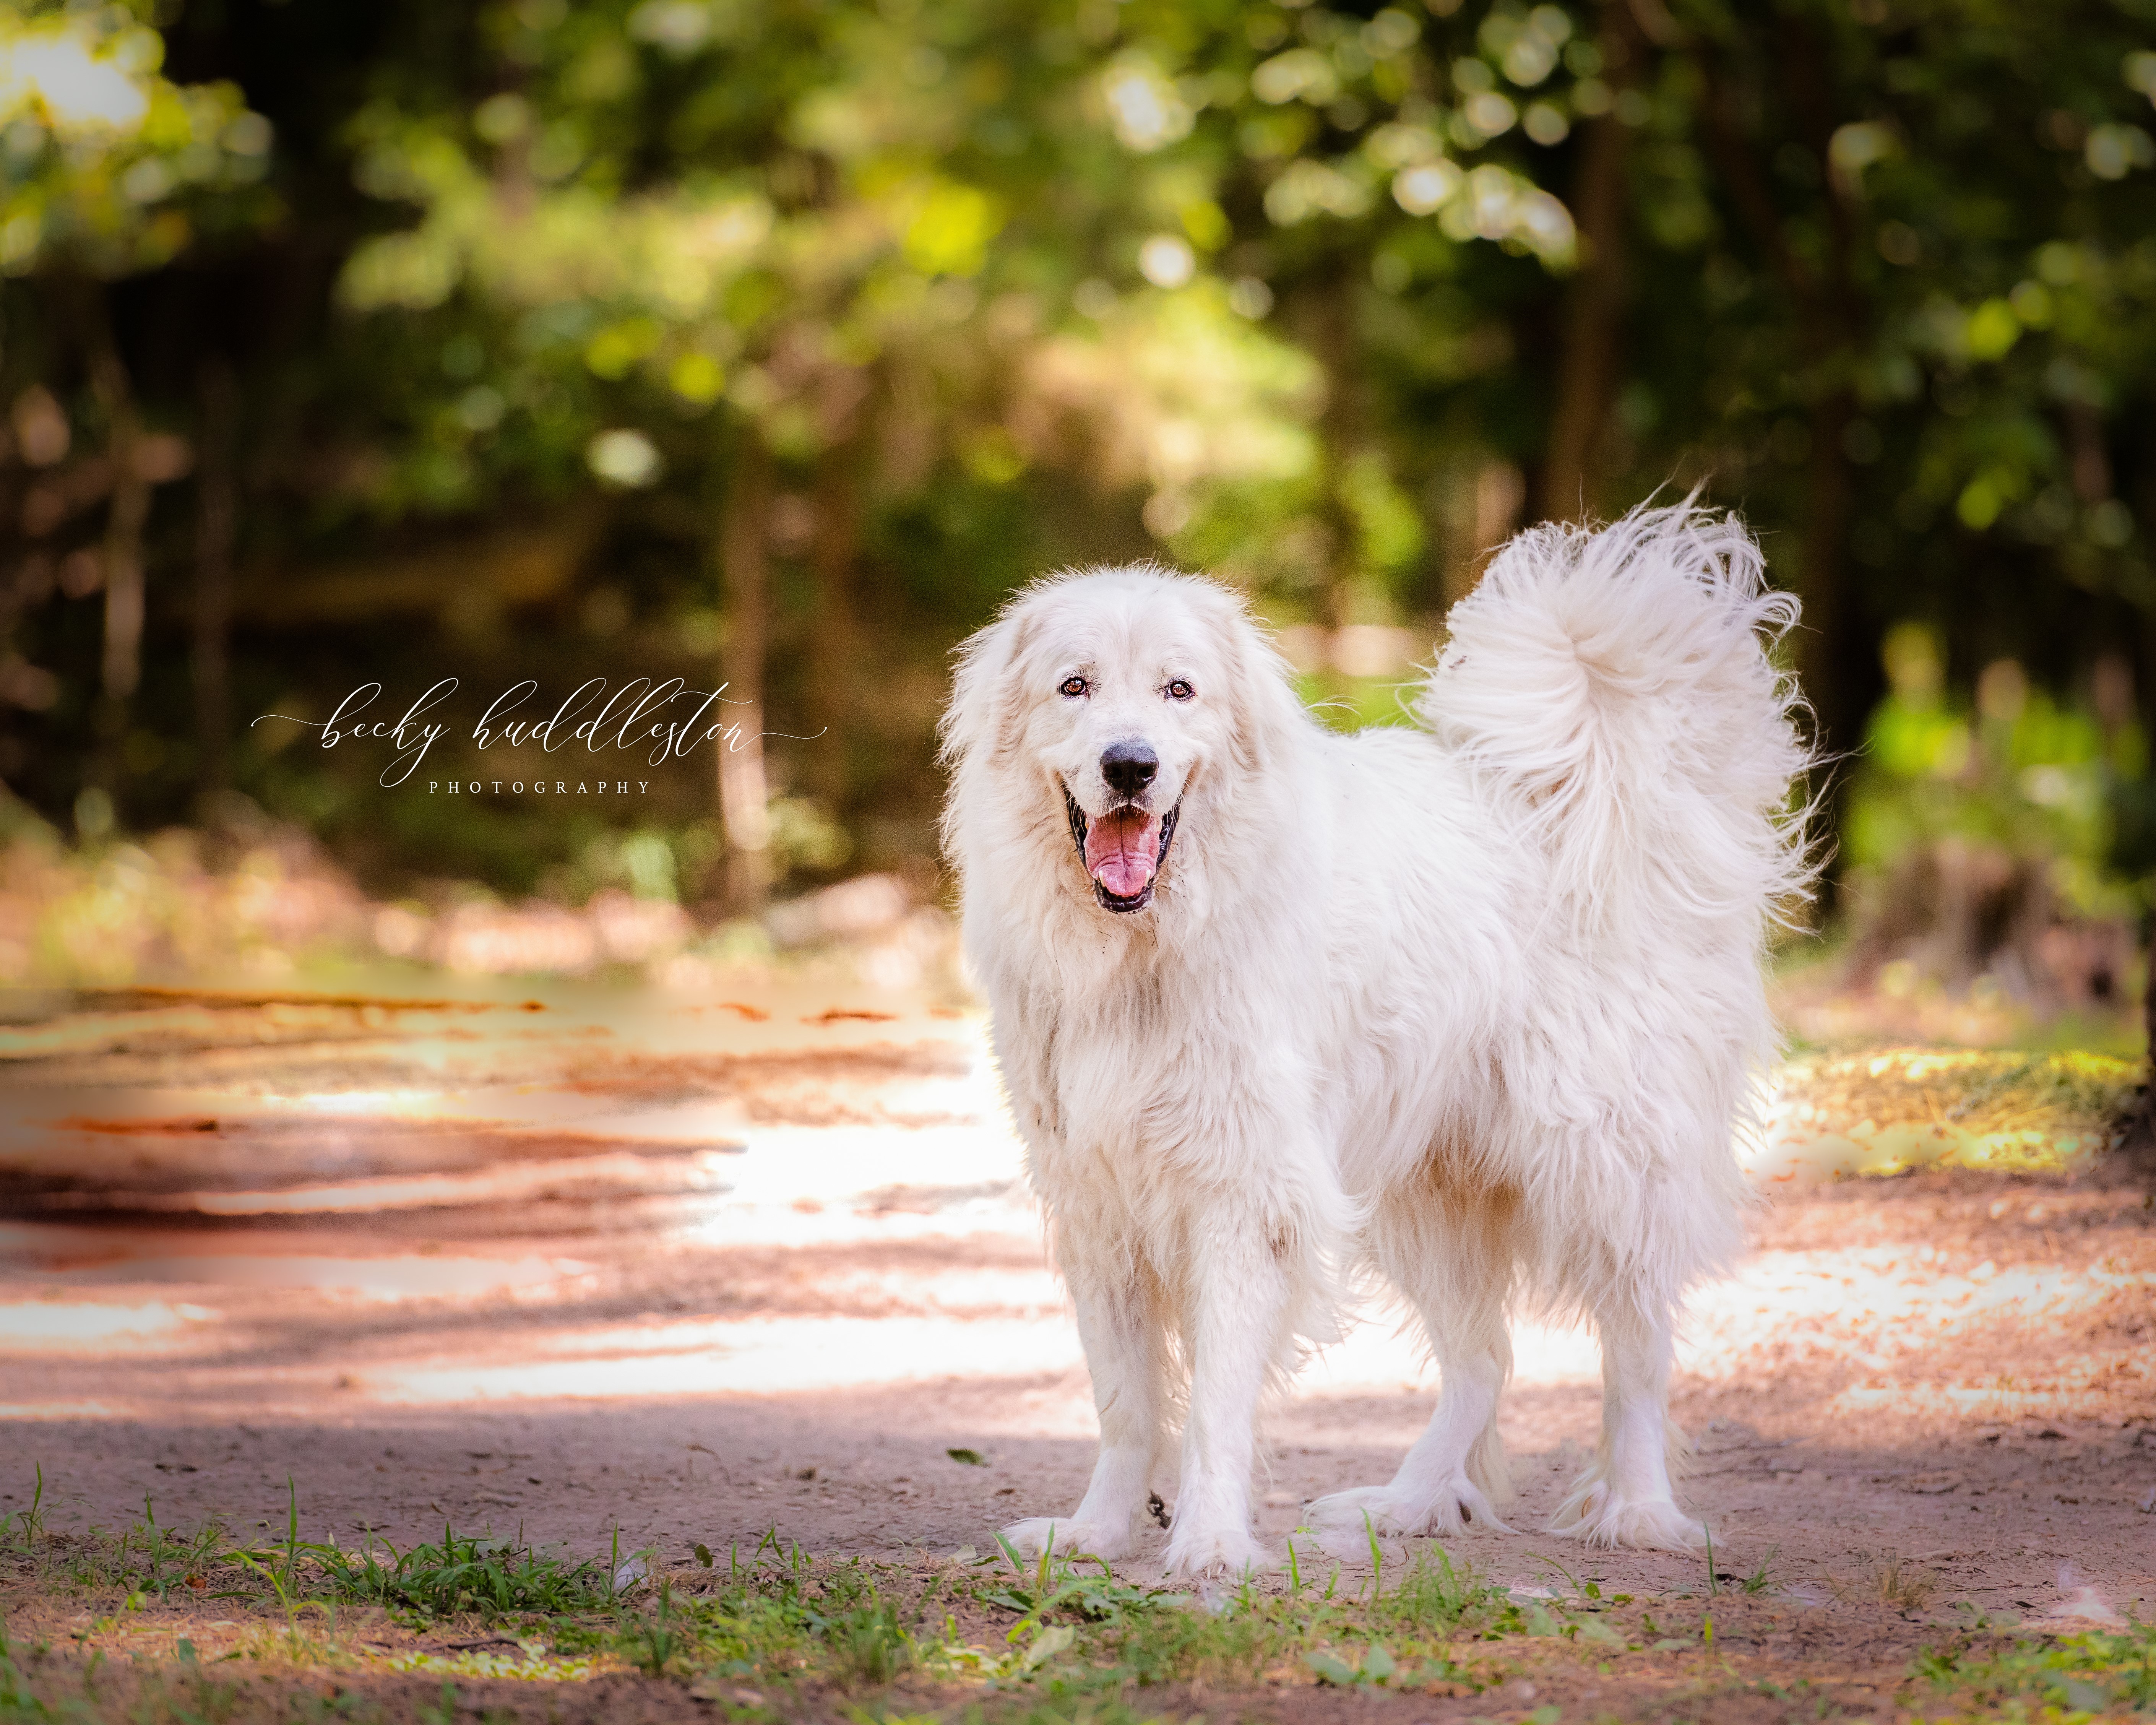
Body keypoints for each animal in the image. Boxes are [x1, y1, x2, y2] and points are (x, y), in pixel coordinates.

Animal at [935, 498, 1811, 1578]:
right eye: (1074, 686)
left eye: (1180, 689)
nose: (1129, 764)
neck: (1146, 950)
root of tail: (1572, 781)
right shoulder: (1098, 1203)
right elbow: (1124, 1400)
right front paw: (1096, 1532)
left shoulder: (1245, 1196)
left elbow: (1216, 1398)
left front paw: (1210, 1544)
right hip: (1426, 1194)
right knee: (1484, 1360)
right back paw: (1404, 1505)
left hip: (1606, 1161)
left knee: (1637, 1349)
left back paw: (1643, 1513)